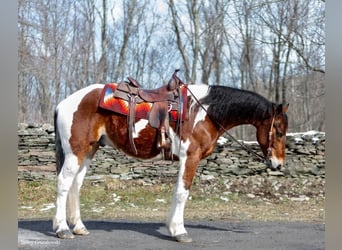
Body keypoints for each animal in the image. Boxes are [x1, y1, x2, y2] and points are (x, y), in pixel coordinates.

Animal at [53, 74, 288, 244]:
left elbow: (178, 192)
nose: (278, 164)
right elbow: (183, 192)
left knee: (76, 185)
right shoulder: (190, 157)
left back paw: (79, 227)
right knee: (64, 183)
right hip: (75, 152)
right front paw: (180, 231)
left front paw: (172, 227)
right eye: (278, 131)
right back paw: (62, 229)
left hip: (88, 151)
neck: (203, 112)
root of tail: (63, 103)